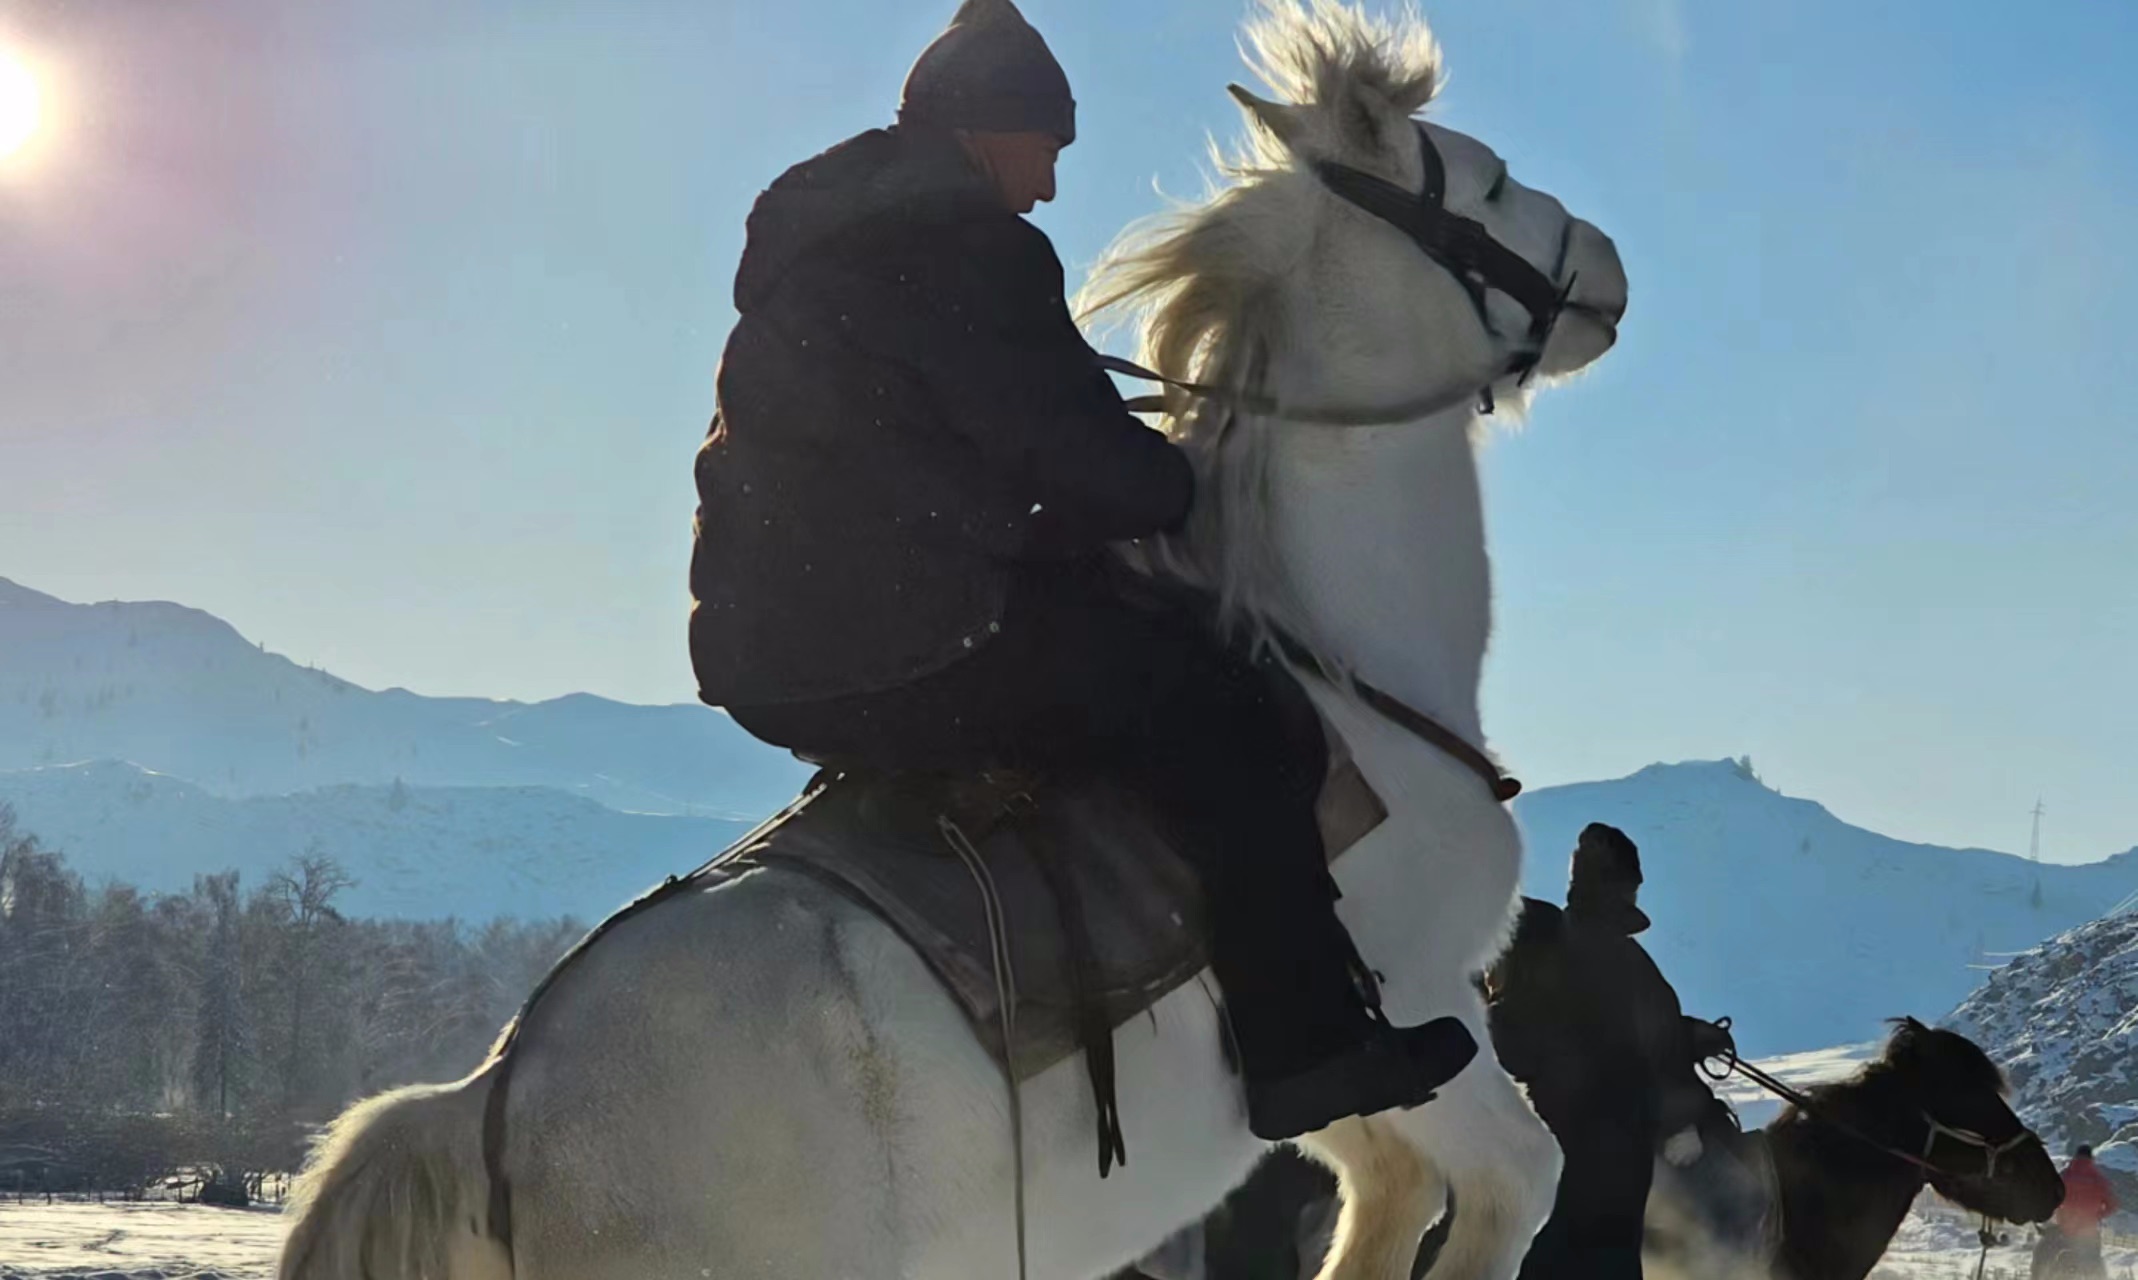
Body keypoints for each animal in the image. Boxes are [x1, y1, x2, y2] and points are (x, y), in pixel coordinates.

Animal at [275, 5, 1624, 1273]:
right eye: (1487, 180)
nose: (1608, 267)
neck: (1338, 661)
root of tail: (492, 1099)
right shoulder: (1421, 1002)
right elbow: (1517, 1177)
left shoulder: (1365, 1089)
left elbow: (1380, 1200)